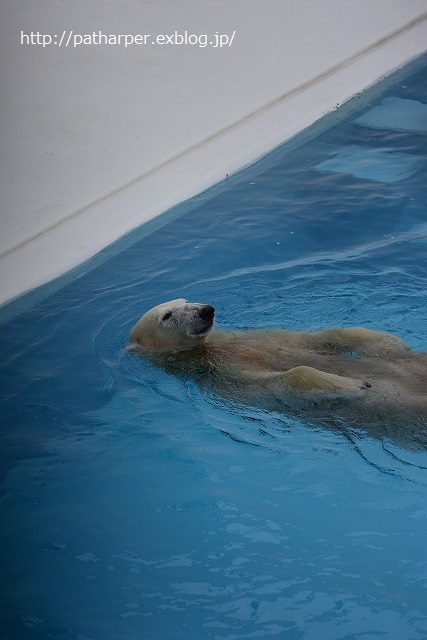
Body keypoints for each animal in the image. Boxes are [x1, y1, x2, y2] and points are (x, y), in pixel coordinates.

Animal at [129, 298, 427, 438]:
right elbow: (276, 383)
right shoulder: (216, 374)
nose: (206, 310)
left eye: (185, 300)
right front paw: (353, 384)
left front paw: (390, 342)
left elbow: (322, 337)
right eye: (167, 315)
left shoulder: (250, 338)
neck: (208, 349)